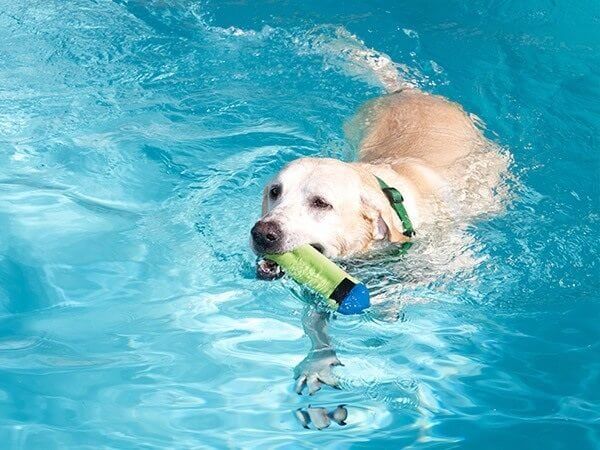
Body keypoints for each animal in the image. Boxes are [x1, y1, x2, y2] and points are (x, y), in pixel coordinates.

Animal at [251, 87, 508, 394]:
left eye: (321, 203)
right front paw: (318, 363)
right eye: (275, 191)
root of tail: (410, 90)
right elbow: (314, 318)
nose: (262, 233)